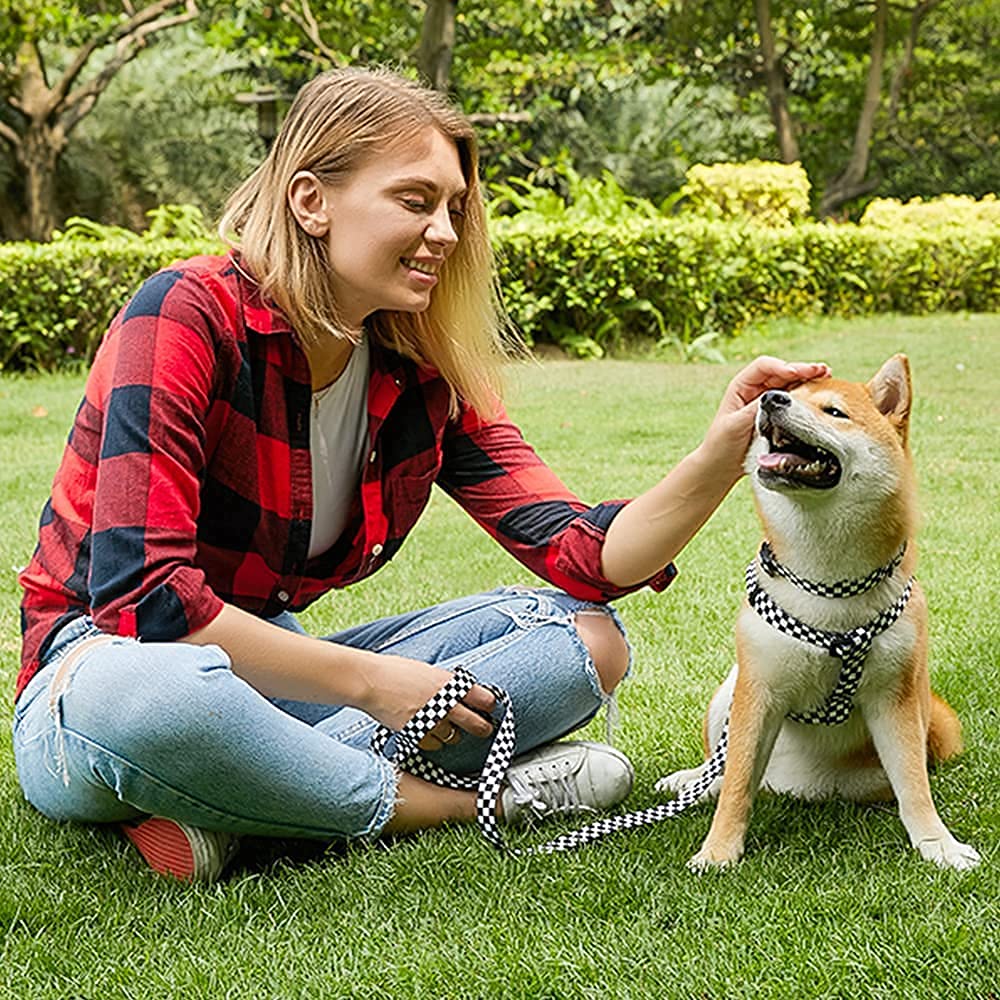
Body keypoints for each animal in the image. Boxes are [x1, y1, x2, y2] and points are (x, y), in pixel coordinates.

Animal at [660, 356, 980, 872]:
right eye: (786, 394)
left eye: (834, 411)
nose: (769, 399)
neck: (828, 586)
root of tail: (788, 786)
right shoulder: (758, 692)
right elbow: (735, 787)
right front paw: (718, 852)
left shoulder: (895, 698)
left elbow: (915, 788)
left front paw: (939, 846)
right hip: (730, 691)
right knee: (722, 772)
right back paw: (691, 782)